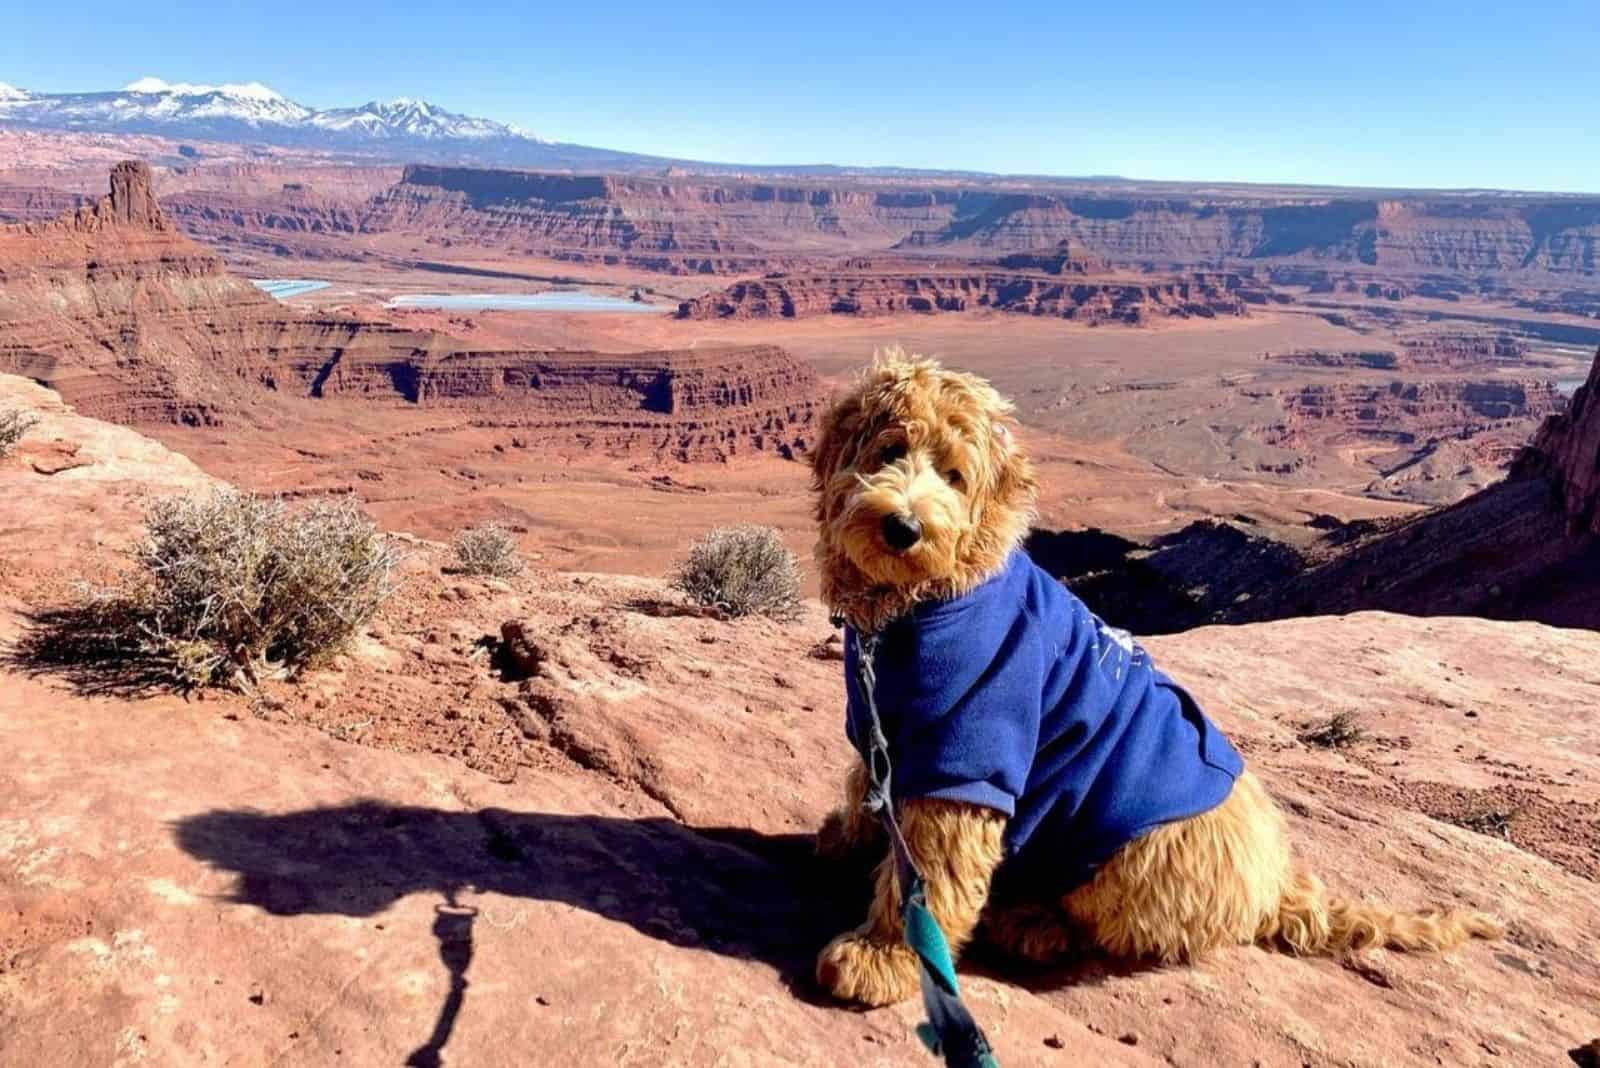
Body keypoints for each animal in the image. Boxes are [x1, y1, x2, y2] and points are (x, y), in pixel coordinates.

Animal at [812, 351, 1497, 1010]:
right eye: (889, 450)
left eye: (955, 476)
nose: (903, 528)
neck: (921, 601)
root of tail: (1275, 886)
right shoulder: (886, 720)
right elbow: (872, 785)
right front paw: (850, 838)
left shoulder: (973, 750)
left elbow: (932, 863)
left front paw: (882, 957)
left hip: (1137, 854)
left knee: (1113, 928)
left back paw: (1030, 921)